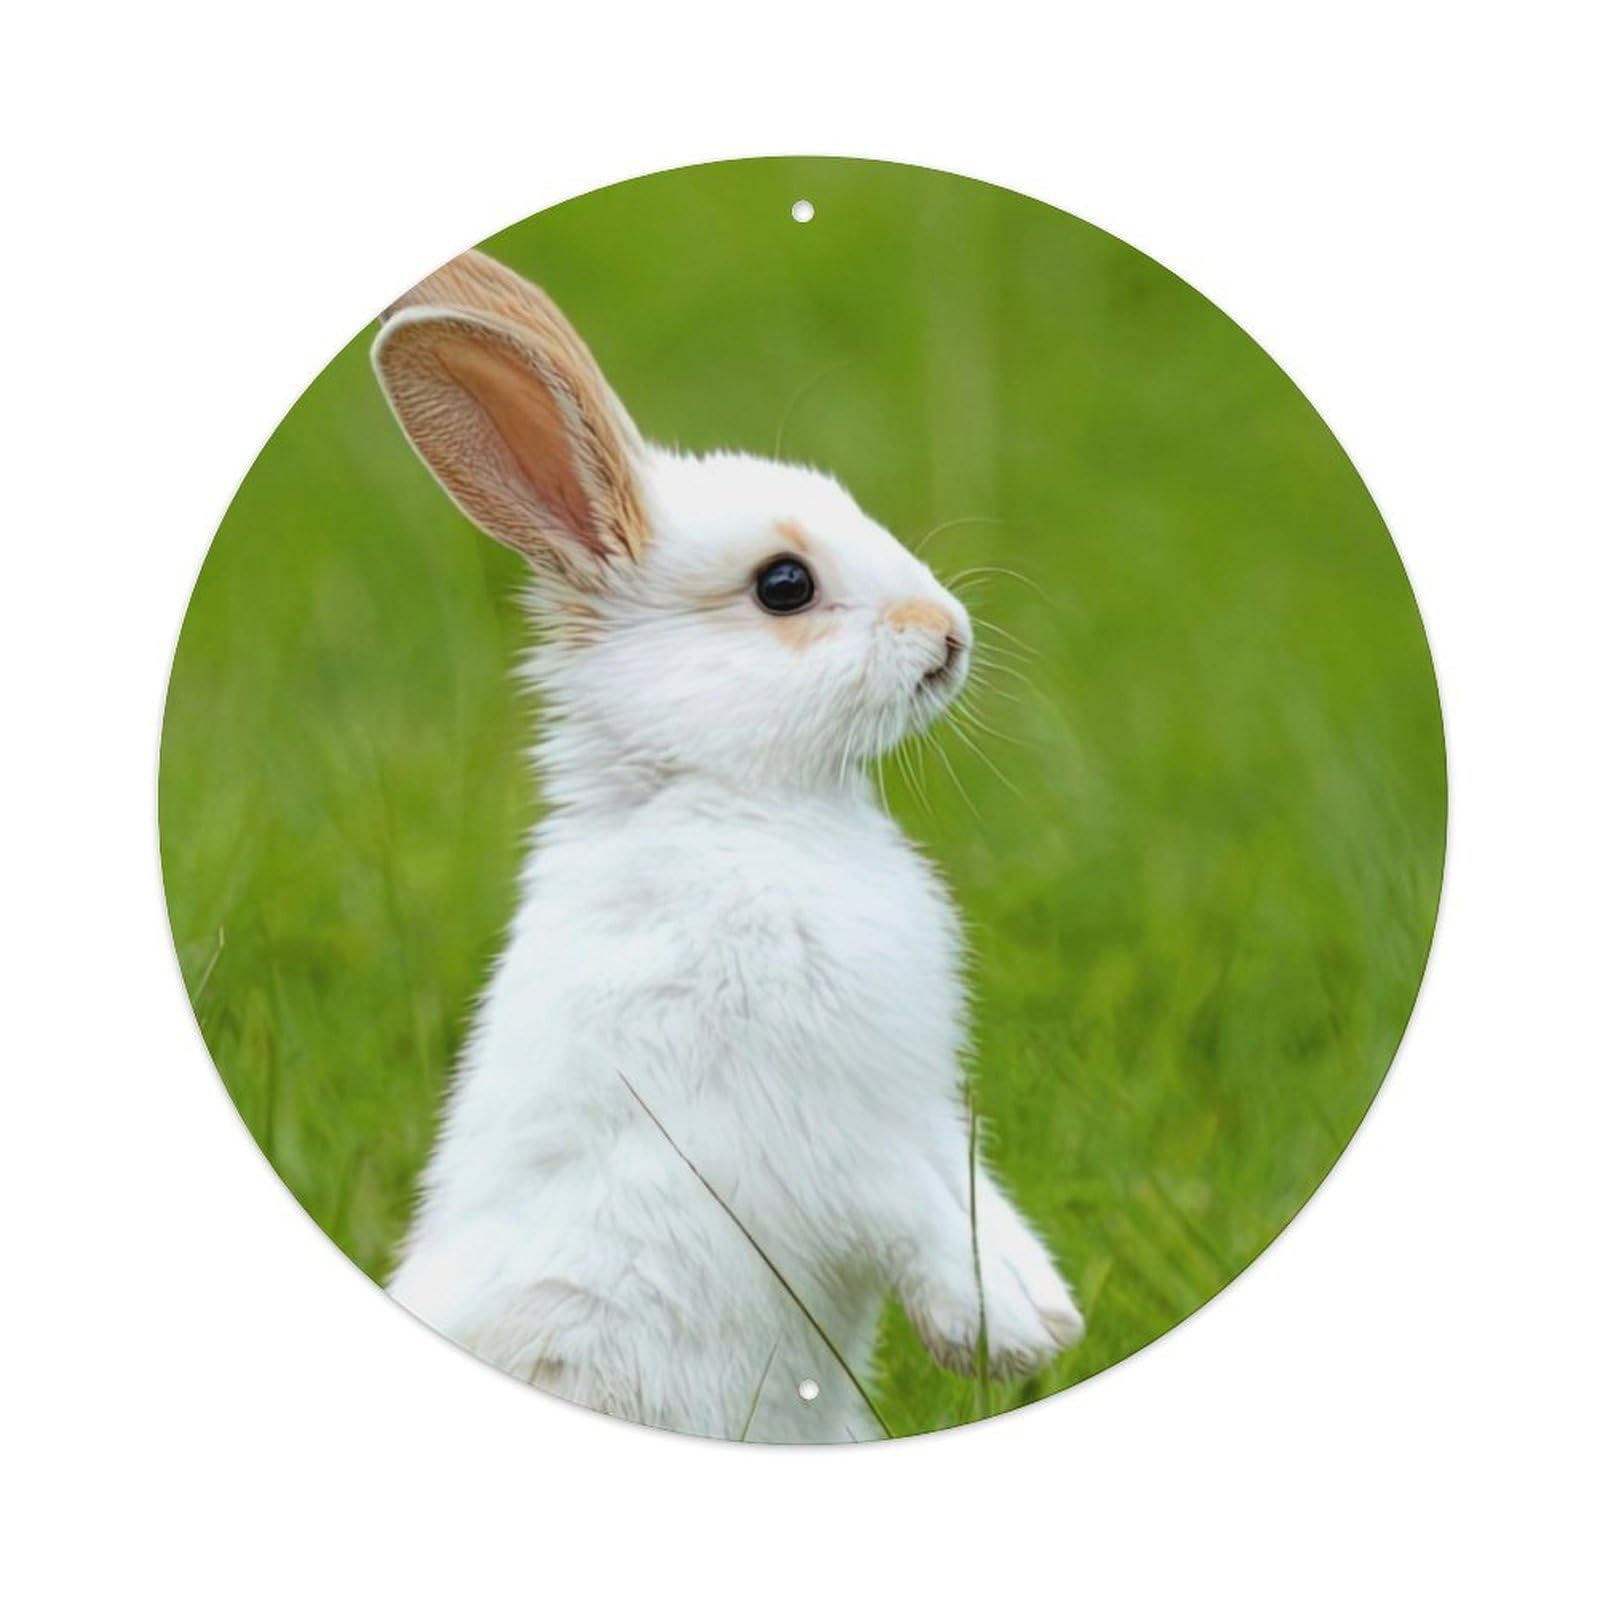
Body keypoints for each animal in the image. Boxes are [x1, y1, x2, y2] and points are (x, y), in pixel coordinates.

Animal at [373, 248, 1083, 1442]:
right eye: (783, 586)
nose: (949, 635)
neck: (737, 802)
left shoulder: (917, 1101)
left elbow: (971, 1183)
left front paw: (1042, 1307)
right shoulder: (815, 1126)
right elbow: (905, 1207)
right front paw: (995, 1336)